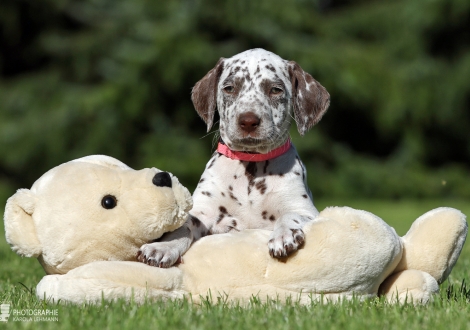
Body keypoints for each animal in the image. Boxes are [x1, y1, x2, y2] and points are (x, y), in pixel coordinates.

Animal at [138, 47, 330, 268]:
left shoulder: (306, 210)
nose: (248, 121)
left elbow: (291, 215)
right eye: (229, 88)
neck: (250, 166)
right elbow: (182, 228)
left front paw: (283, 235)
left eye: (275, 90)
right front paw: (162, 247)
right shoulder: (203, 213)